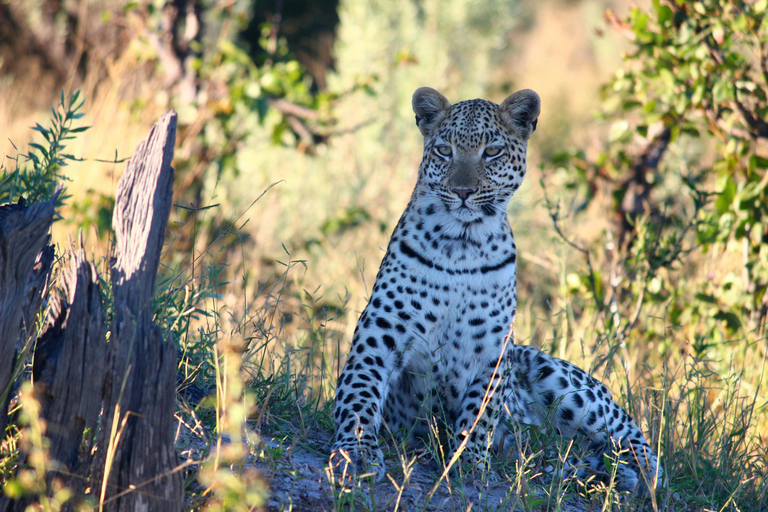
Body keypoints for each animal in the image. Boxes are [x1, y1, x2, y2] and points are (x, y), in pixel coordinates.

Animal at [330, 87, 660, 496]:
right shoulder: (381, 329)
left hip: (558, 377)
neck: (461, 243)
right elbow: (359, 391)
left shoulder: (494, 349)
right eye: (445, 150)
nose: (462, 191)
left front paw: (469, 463)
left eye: (492, 152)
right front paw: (356, 450)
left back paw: (645, 477)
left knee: (628, 429)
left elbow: (480, 413)